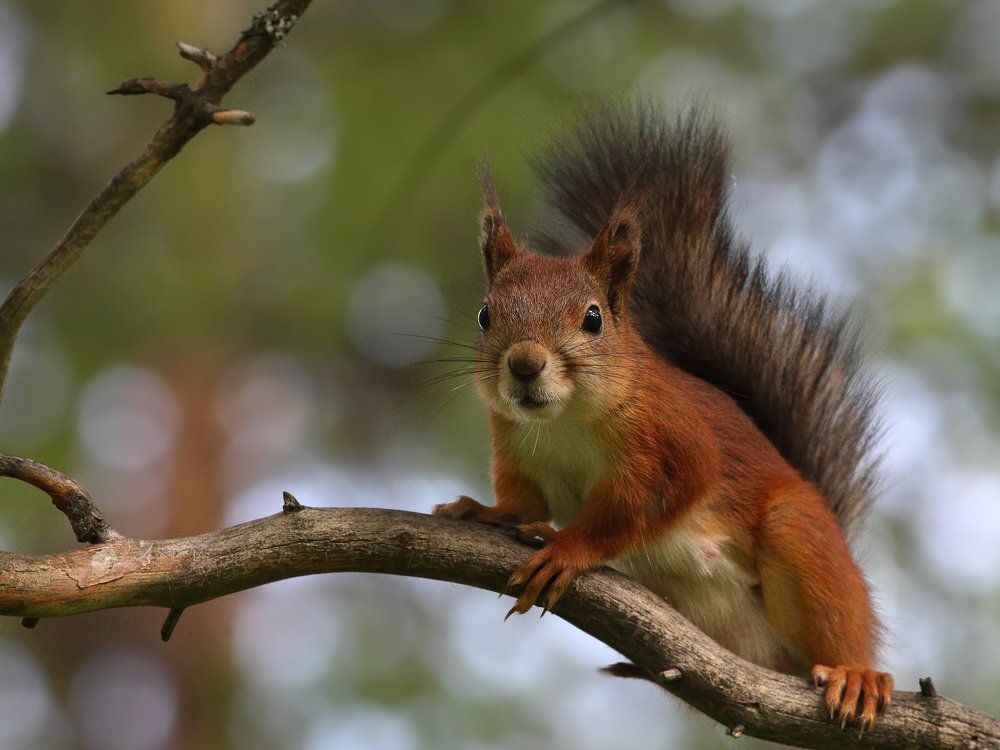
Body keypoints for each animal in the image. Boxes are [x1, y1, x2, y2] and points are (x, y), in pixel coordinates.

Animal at [433, 101, 893, 732]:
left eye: (593, 318)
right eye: (485, 314)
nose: (524, 364)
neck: (564, 423)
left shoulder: (676, 440)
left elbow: (641, 510)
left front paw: (569, 548)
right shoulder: (517, 452)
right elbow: (524, 504)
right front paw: (483, 511)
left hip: (801, 539)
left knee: (837, 622)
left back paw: (856, 674)